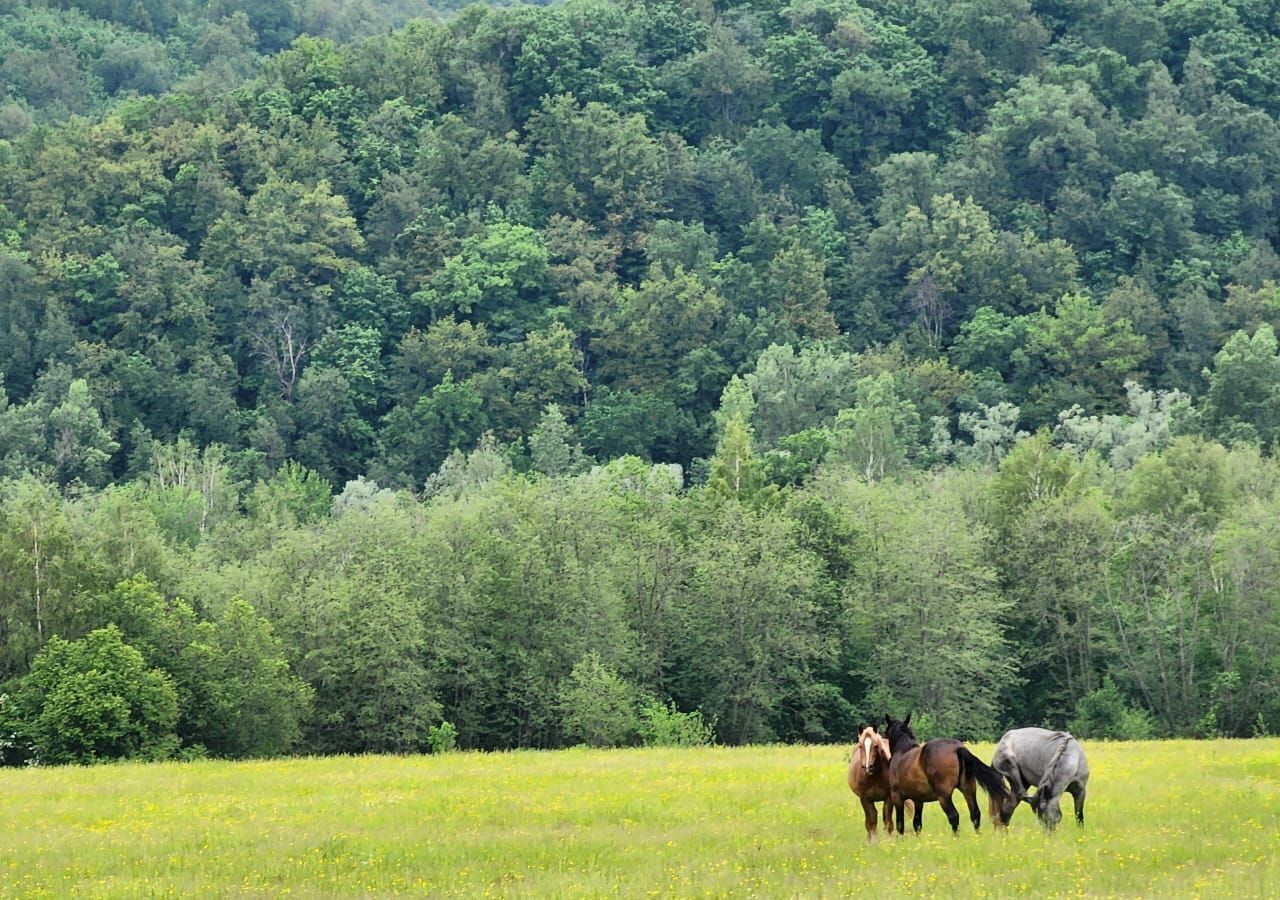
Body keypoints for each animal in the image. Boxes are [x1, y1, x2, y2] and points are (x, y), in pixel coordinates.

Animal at [880, 716, 1008, 834]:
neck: (903, 751)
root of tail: (957, 748)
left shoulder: (897, 797)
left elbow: (900, 824)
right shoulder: (918, 800)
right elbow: (917, 824)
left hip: (944, 796)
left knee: (954, 816)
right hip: (968, 789)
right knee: (975, 814)